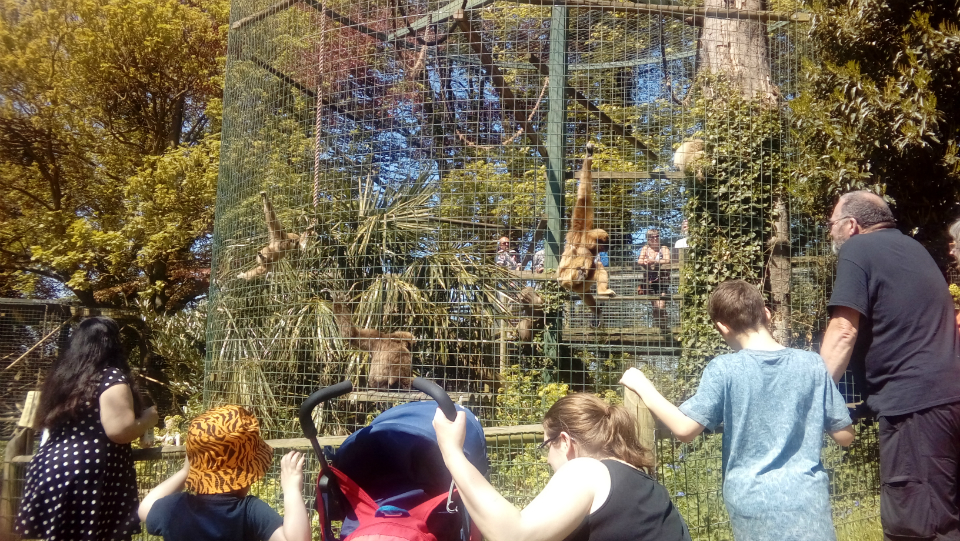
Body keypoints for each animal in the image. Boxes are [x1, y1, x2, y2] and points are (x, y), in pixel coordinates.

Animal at [556, 141, 616, 318]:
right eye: (603, 245)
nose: (605, 250)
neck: (585, 240)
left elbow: (585, 198)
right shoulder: (577, 232)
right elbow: (583, 199)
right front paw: (588, 157)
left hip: (581, 286)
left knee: (596, 266)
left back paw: (601, 294)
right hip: (565, 278)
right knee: (586, 257)